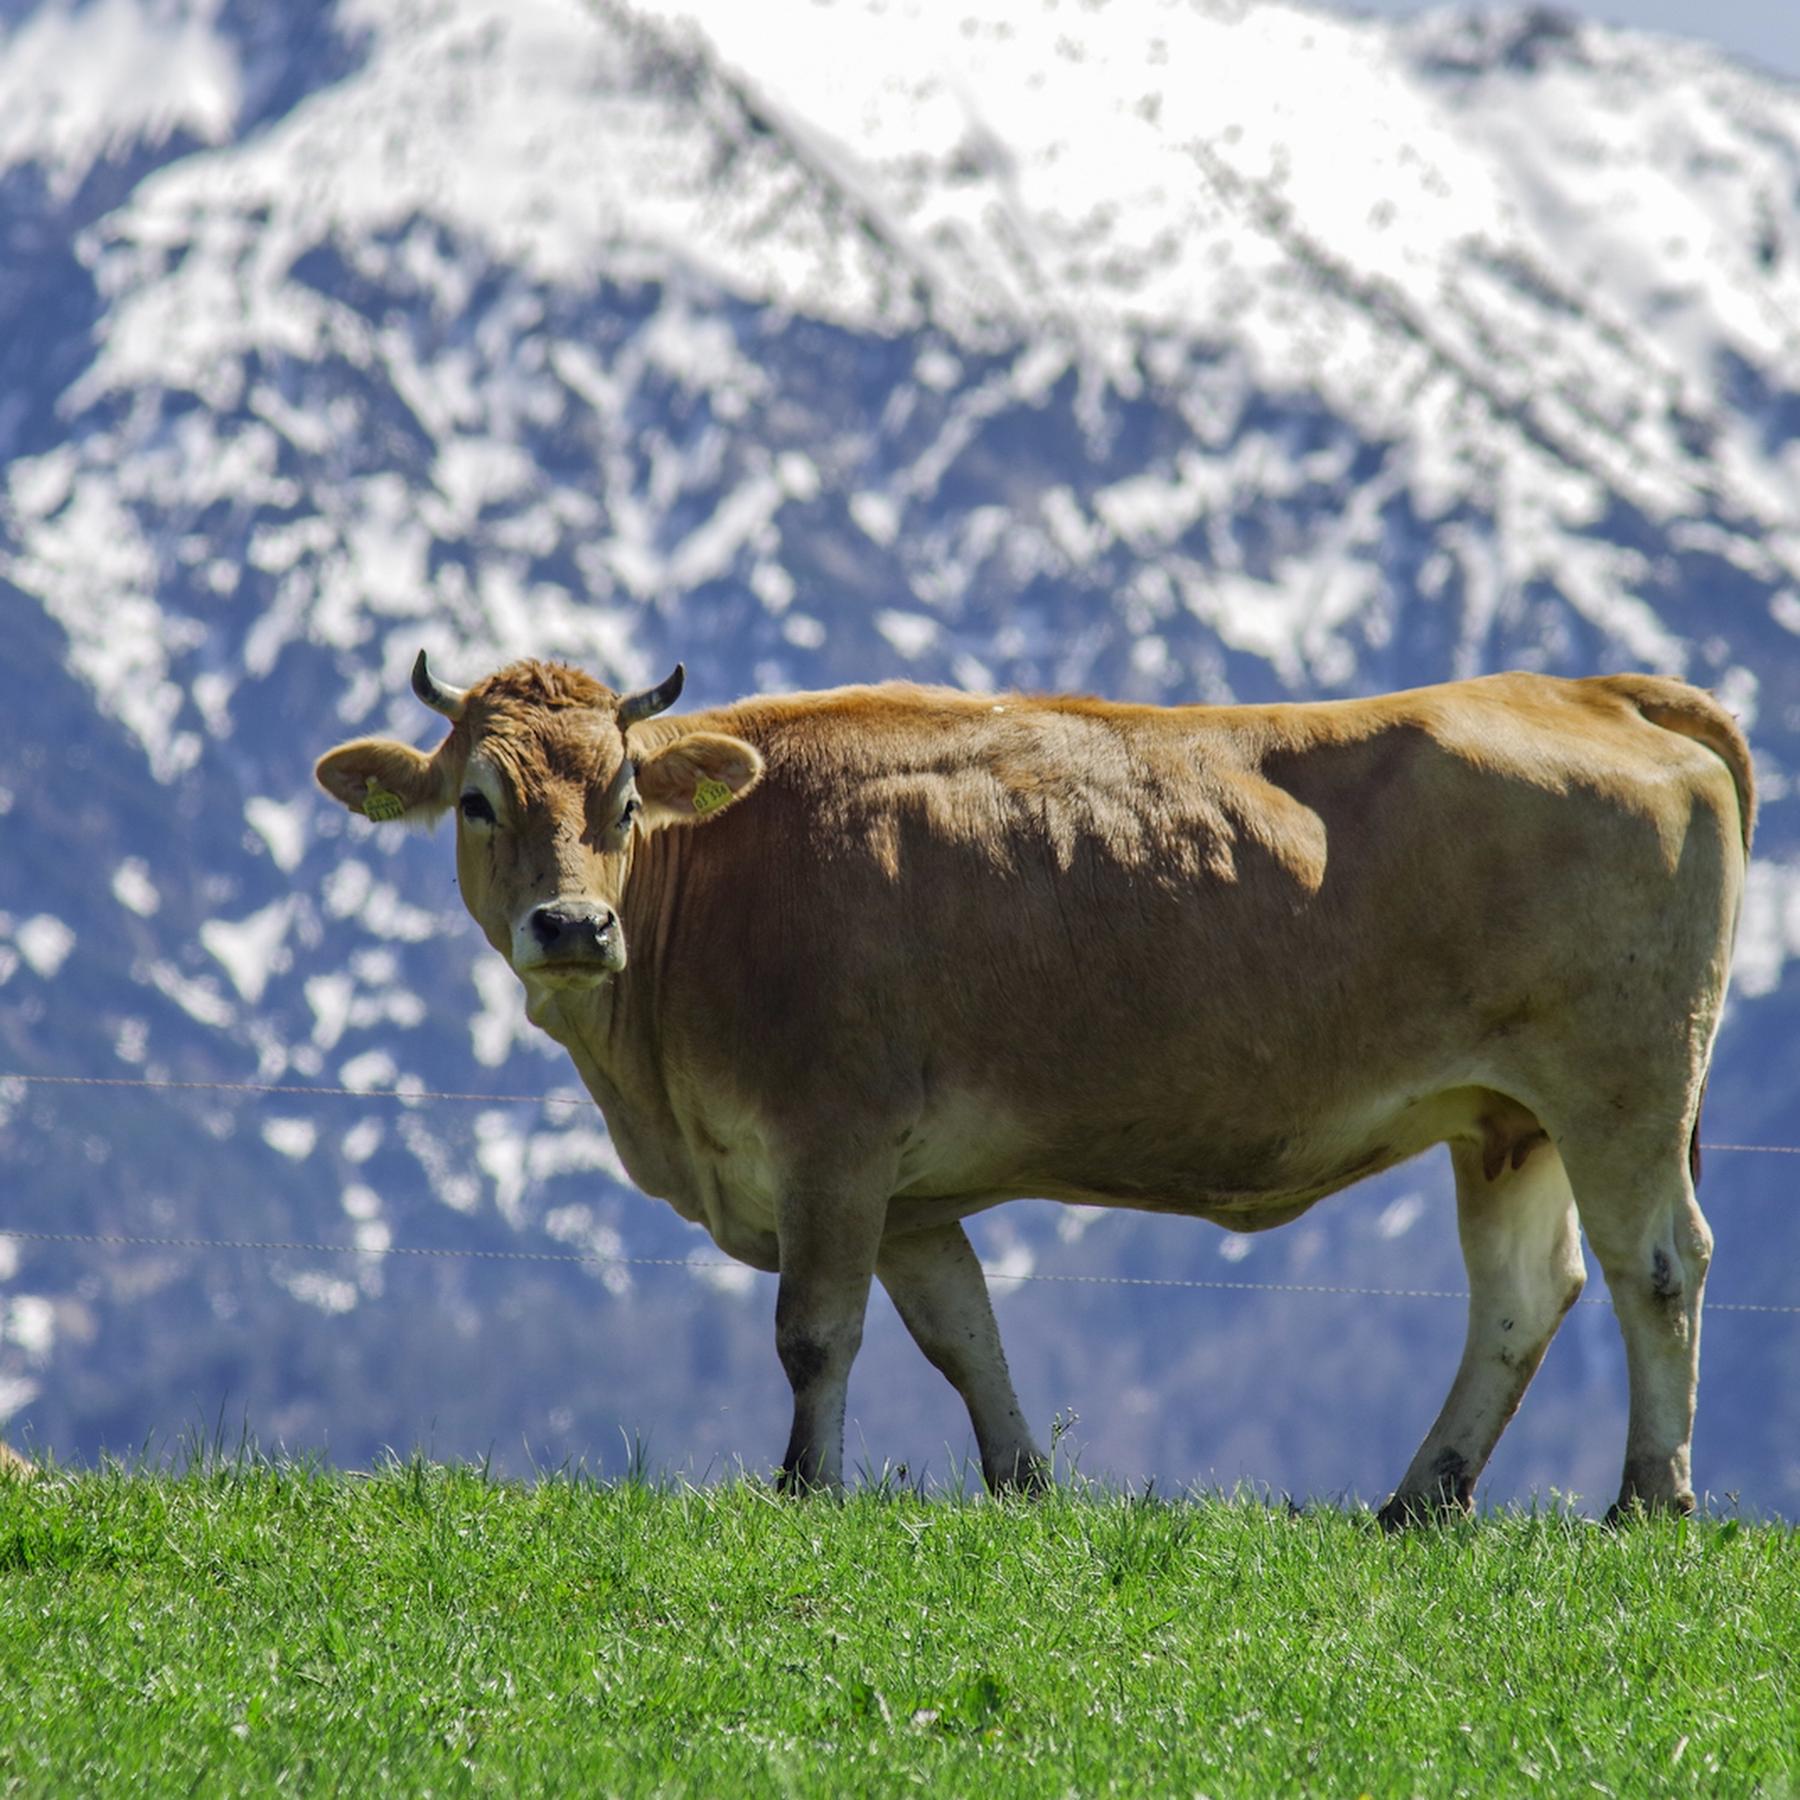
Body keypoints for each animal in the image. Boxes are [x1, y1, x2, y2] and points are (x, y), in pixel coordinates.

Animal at [317, 657, 1752, 1523]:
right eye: (477, 802)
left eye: (623, 799)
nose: (571, 927)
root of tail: (1587, 686)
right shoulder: (906, 1198)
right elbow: (965, 1335)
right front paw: (1023, 1486)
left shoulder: (831, 1141)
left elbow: (814, 1332)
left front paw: (805, 1490)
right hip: (1508, 1120)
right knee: (1524, 1294)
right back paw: (1417, 1501)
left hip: (1620, 1086)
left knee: (1659, 1268)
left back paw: (1647, 1500)